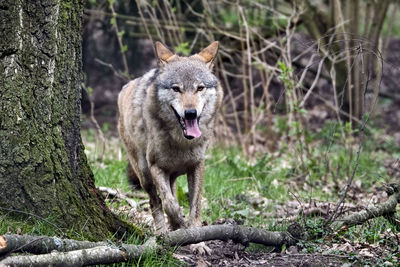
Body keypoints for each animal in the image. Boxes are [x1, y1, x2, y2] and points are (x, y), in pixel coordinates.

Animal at [118, 42, 225, 241]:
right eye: (176, 88)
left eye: (200, 88)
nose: (190, 113)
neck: (182, 143)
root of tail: (126, 86)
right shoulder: (155, 167)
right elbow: (168, 203)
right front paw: (179, 222)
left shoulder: (198, 165)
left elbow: (195, 207)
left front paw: (196, 239)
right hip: (144, 173)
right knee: (154, 201)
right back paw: (162, 231)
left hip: (171, 175)